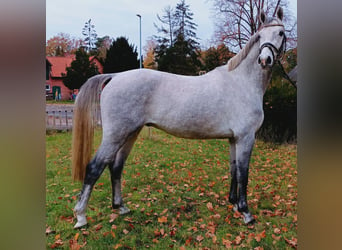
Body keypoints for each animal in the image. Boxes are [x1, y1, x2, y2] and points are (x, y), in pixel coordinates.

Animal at [71, 7, 286, 228]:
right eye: (260, 36)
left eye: (280, 33)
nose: (264, 60)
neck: (241, 82)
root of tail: (115, 76)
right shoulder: (246, 137)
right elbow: (244, 173)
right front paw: (246, 212)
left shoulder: (234, 138)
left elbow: (234, 170)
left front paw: (234, 204)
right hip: (115, 135)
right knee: (94, 168)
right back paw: (81, 216)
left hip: (130, 134)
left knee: (116, 167)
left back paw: (120, 207)